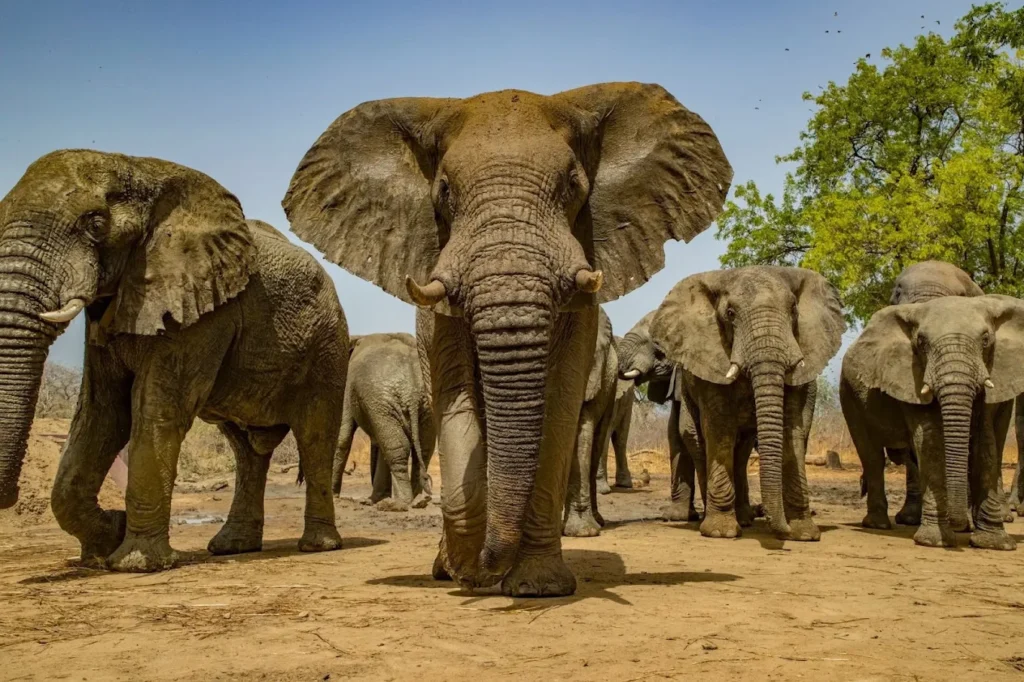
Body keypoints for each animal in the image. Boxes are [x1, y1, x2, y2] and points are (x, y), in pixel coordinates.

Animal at [0, 150, 348, 572]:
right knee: (246, 451)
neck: (138, 169)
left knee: (315, 435)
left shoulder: (201, 306)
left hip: (327, 344)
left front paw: (135, 564)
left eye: (95, 225)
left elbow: (156, 410)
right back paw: (233, 547)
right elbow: (101, 415)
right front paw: (107, 541)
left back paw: (319, 546)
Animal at [332, 333, 435, 511]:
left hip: (383, 400)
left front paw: (332, 497)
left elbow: (342, 436)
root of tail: (413, 392)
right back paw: (418, 500)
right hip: (420, 406)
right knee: (422, 449)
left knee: (398, 449)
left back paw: (400, 503)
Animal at [650, 266, 845, 540]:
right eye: (730, 314)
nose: (780, 528)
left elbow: (792, 430)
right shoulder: (712, 361)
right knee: (697, 440)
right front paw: (720, 532)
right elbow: (720, 430)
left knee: (741, 452)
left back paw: (744, 518)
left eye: (793, 309)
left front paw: (804, 534)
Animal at [840, 294, 1024, 549]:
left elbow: (985, 444)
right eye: (921, 342)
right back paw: (878, 525)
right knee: (871, 455)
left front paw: (995, 543)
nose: (960, 525)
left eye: (986, 340)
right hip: (849, 394)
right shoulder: (911, 376)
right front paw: (935, 541)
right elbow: (931, 440)